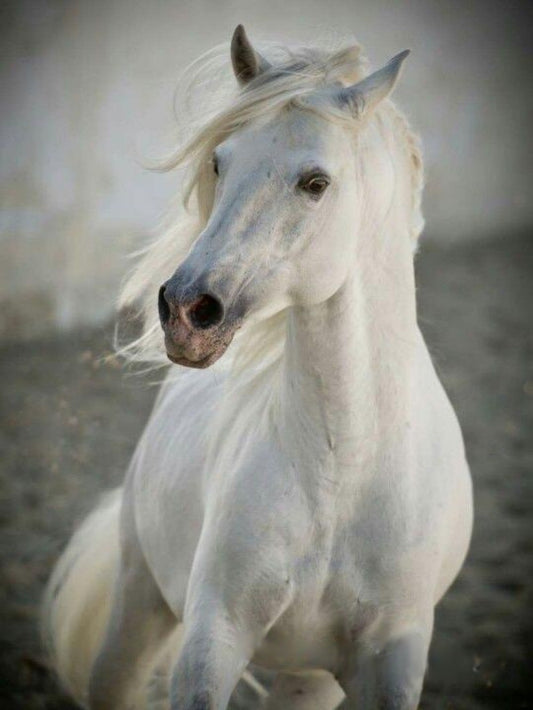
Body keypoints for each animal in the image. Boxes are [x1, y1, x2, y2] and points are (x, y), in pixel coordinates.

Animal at [42, 25, 473, 710]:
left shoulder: (394, 658)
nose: (185, 310)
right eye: (219, 162)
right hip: (139, 603)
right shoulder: (213, 636)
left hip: (308, 678)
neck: (344, 468)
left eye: (316, 182)